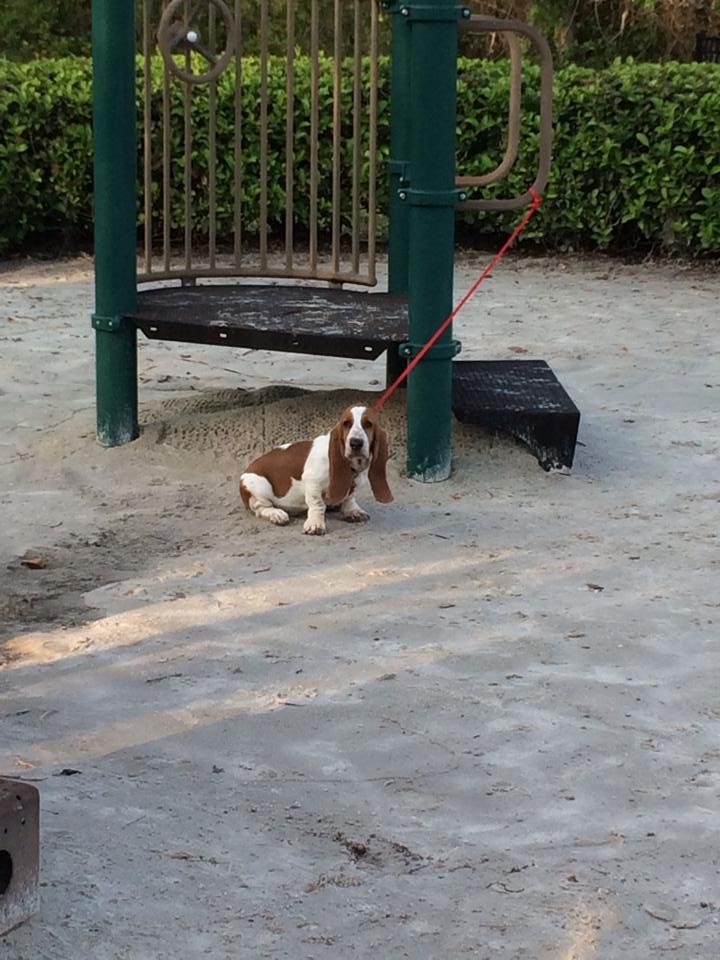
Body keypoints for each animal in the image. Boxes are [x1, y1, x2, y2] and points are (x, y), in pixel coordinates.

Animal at [239, 404, 390, 536]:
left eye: (368, 424)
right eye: (346, 424)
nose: (356, 443)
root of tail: (246, 471)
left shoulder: (353, 485)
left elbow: (350, 498)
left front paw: (353, 511)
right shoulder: (313, 483)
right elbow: (318, 504)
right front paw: (315, 525)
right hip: (258, 485)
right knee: (261, 508)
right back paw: (277, 514)